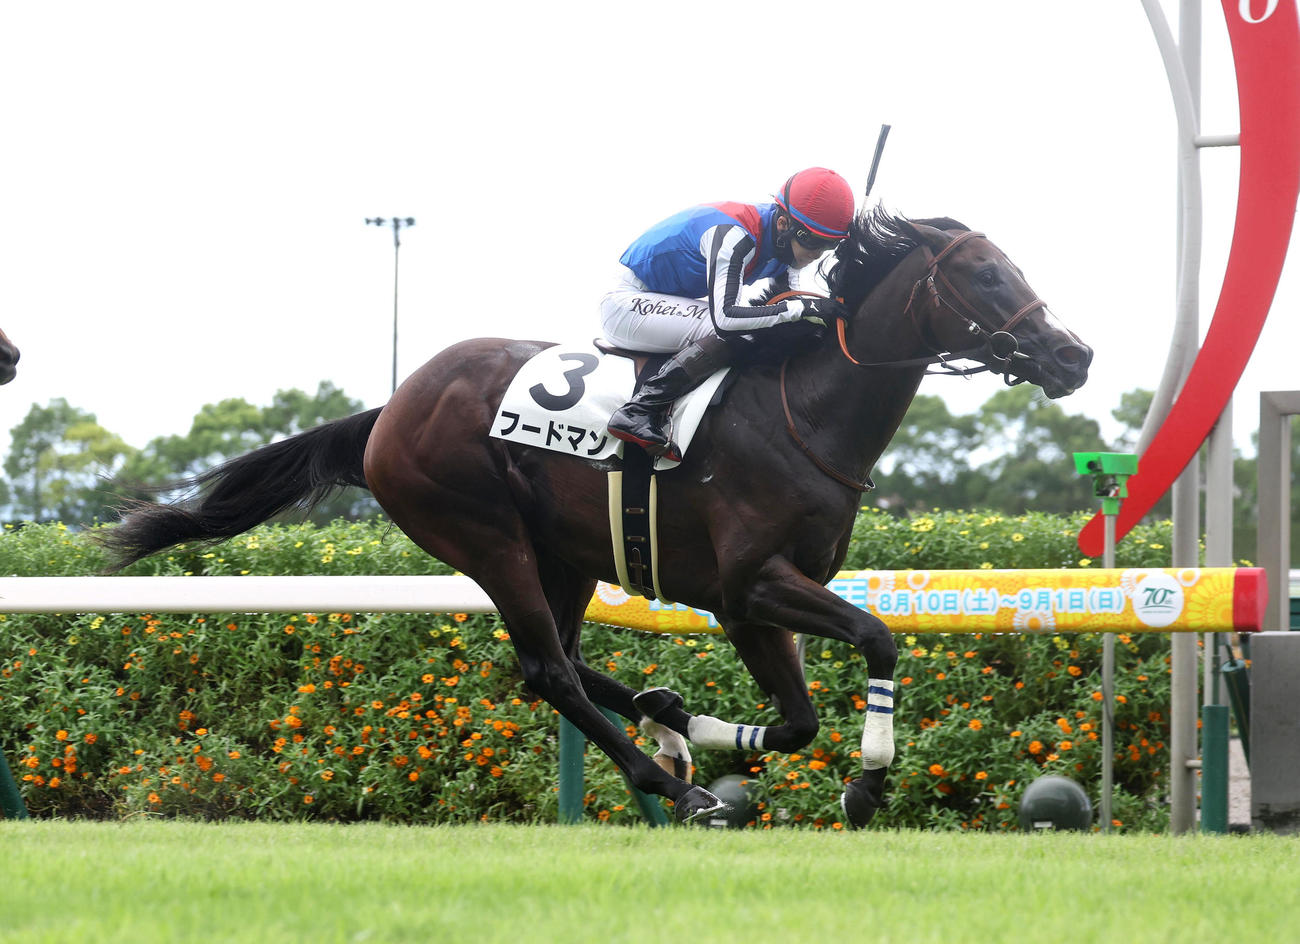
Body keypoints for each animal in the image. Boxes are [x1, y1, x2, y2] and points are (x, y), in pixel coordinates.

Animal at [98, 208, 1092, 826]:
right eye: (984, 276)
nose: (1072, 355)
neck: (803, 412)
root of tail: (389, 410)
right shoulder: (751, 586)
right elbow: (873, 644)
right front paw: (861, 787)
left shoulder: (760, 601)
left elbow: (799, 718)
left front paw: (708, 733)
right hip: (486, 535)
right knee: (547, 670)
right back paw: (670, 781)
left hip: (565, 554)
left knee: (570, 660)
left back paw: (664, 719)